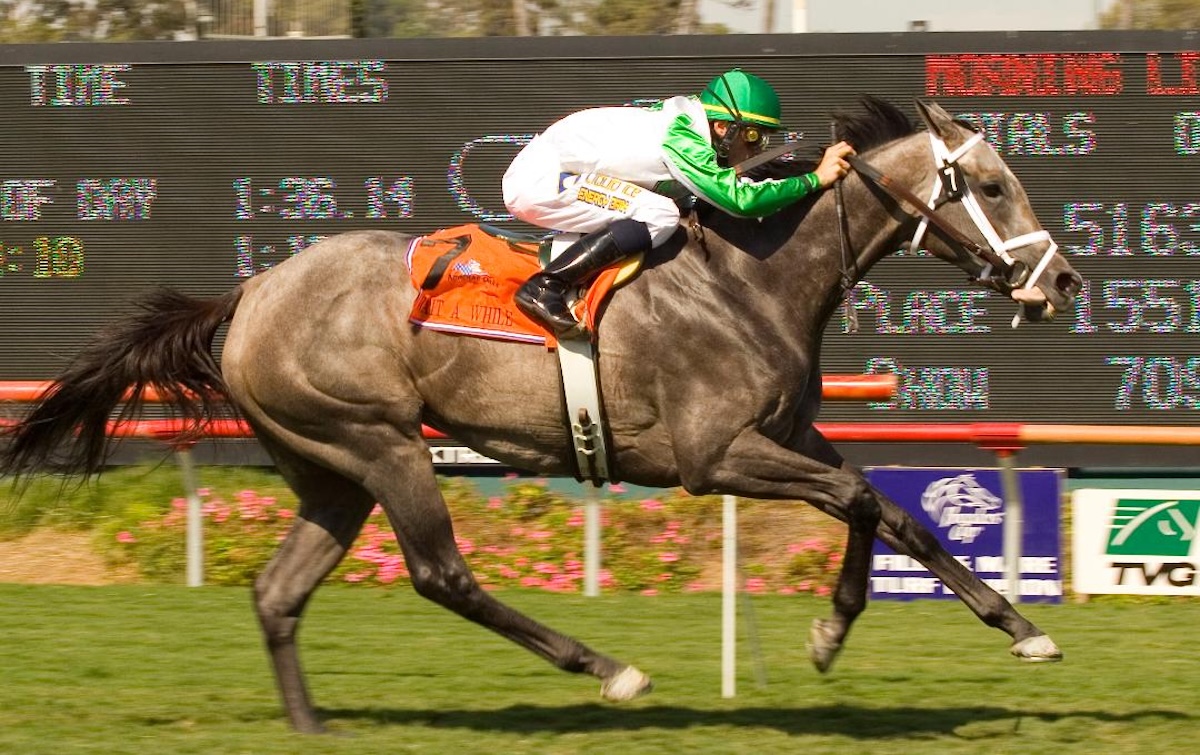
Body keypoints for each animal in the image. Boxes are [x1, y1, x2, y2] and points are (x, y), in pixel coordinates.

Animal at [0, 98, 1084, 729]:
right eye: (993, 185)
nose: (1064, 280)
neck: (751, 279)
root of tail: (251, 292)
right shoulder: (714, 454)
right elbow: (861, 496)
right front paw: (843, 630)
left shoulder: (783, 434)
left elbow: (886, 508)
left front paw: (995, 627)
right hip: (381, 442)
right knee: (441, 574)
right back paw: (607, 669)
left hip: (326, 468)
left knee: (278, 591)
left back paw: (313, 726)